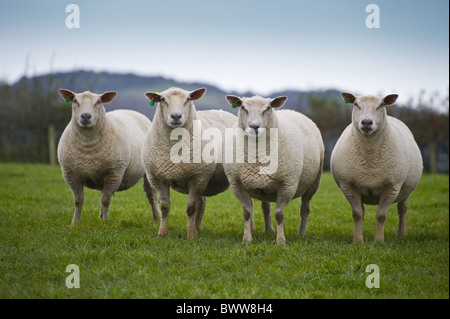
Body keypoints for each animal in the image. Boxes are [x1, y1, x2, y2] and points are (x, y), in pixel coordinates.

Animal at [57, 89, 161, 225]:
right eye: (75, 101)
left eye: (98, 102)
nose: (85, 116)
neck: (88, 147)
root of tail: (130, 110)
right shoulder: (70, 174)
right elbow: (79, 200)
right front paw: (75, 223)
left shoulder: (114, 173)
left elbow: (106, 200)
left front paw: (106, 222)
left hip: (147, 170)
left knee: (151, 194)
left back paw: (157, 218)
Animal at [142, 86, 237, 239]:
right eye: (162, 99)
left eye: (188, 99)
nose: (176, 116)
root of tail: (223, 111)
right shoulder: (158, 178)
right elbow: (165, 207)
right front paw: (162, 233)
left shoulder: (198, 177)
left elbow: (190, 207)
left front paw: (191, 235)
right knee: (202, 203)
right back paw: (198, 228)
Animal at [222, 95, 324, 245]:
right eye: (243, 107)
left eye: (268, 108)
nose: (254, 127)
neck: (257, 156)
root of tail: (292, 111)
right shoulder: (237, 184)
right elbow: (247, 213)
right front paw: (246, 240)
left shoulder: (287, 185)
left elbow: (279, 214)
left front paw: (281, 241)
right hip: (264, 186)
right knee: (266, 207)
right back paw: (268, 230)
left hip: (313, 183)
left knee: (305, 209)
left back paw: (301, 233)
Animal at [328, 94, 424, 244]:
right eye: (356, 104)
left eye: (381, 105)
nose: (367, 122)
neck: (369, 157)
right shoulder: (349, 186)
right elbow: (357, 214)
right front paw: (358, 241)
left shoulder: (392, 187)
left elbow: (381, 215)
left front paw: (378, 241)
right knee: (363, 211)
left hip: (406, 189)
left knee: (402, 209)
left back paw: (401, 234)